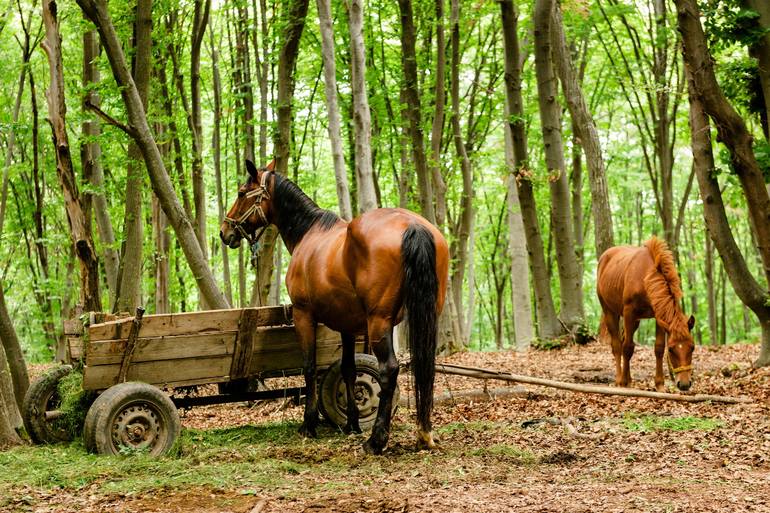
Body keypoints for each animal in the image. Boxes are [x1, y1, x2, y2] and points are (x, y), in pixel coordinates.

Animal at [219, 159, 448, 452]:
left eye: (241, 193)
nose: (225, 232)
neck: (309, 232)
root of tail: (411, 224)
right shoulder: (347, 325)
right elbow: (348, 370)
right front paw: (351, 423)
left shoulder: (303, 315)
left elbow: (309, 366)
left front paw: (309, 424)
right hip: (429, 317)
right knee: (424, 366)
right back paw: (424, 433)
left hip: (379, 322)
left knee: (389, 370)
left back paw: (377, 440)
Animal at [592, 237, 696, 392]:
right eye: (671, 349)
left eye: (692, 347)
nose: (684, 384)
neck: (646, 277)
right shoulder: (629, 312)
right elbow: (628, 348)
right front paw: (623, 383)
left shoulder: (659, 316)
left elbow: (658, 348)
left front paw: (659, 385)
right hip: (610, 311)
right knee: (617, 345)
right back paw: (619, 379)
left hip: (635, 321)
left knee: (623, 340)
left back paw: (628, 378)